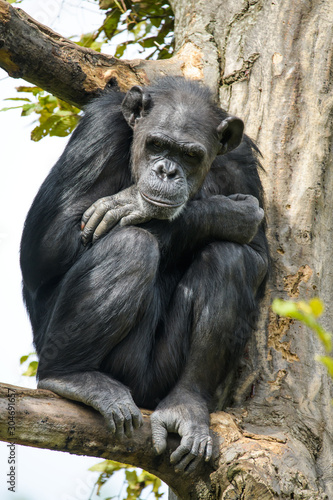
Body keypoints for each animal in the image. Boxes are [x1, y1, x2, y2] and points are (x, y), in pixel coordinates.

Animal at [20, 77, 268, 472]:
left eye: (190, 155)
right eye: (157, 145)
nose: (167, 171)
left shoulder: (241, 162)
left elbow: (258, 257)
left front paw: (132, 202)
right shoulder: (98, 132)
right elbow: (46, 247)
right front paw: (221, 212)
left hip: (158, 379)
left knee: (231, 258)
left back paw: (186, 405)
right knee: (132, 244)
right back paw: (70, 376)